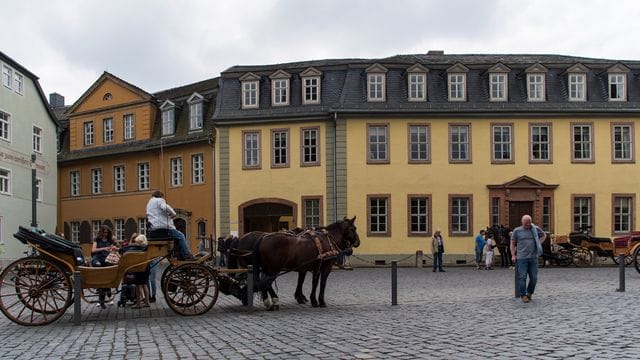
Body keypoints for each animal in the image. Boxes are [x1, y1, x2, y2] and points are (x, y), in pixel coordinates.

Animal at [231, 217, 360, 310]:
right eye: (353, 228)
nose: (357, 242)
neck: (327, 240)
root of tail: (262, 238)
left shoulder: (313, 267)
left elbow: (311, 282)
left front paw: (308, 298)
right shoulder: (324, 267)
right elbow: (321, 283)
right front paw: (318, 300)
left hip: (267, 268)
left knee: (264, 284)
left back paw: (268, 301)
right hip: (273, 268)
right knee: (265, 283)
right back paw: (272, 301)